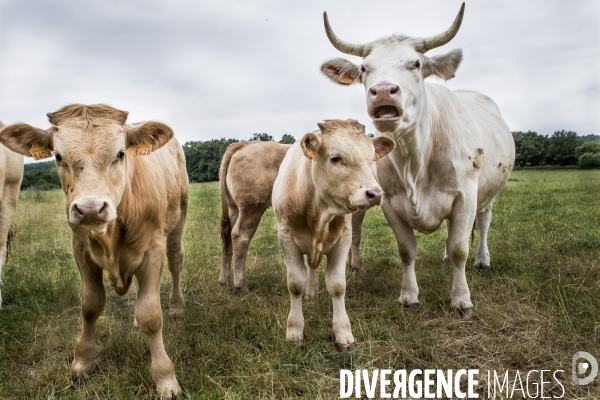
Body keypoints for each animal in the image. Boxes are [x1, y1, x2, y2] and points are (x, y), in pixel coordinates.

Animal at [0, 104, 188, 398]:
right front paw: (82, 362)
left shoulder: (152, 250)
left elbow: (150, 314)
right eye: (57, 155)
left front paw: (165, 377)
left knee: (176, 260)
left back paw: (177, 306)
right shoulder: (81, 251)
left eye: (121, 153)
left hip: (179, 215)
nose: (90, 209)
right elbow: (90, 306)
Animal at [272, 119, 394, 350]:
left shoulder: (343, 238)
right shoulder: (286, 237)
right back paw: (311, 291)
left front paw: (343, 333)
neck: (318, 209)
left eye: (370, 158)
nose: (375, 194)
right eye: (335, 158)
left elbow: (337, 286)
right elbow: (295, 284)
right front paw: (294, 329)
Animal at [322, 3, 512, 316]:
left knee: (483, 221)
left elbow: (460, 248)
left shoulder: (465, 196)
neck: (415, 160)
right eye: (364, 68)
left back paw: (482, 259)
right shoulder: (390, 202)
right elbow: (407, 250)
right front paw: (409, 296)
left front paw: (461, 299)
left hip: (488, 192)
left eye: (416, 64)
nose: (382, 91)